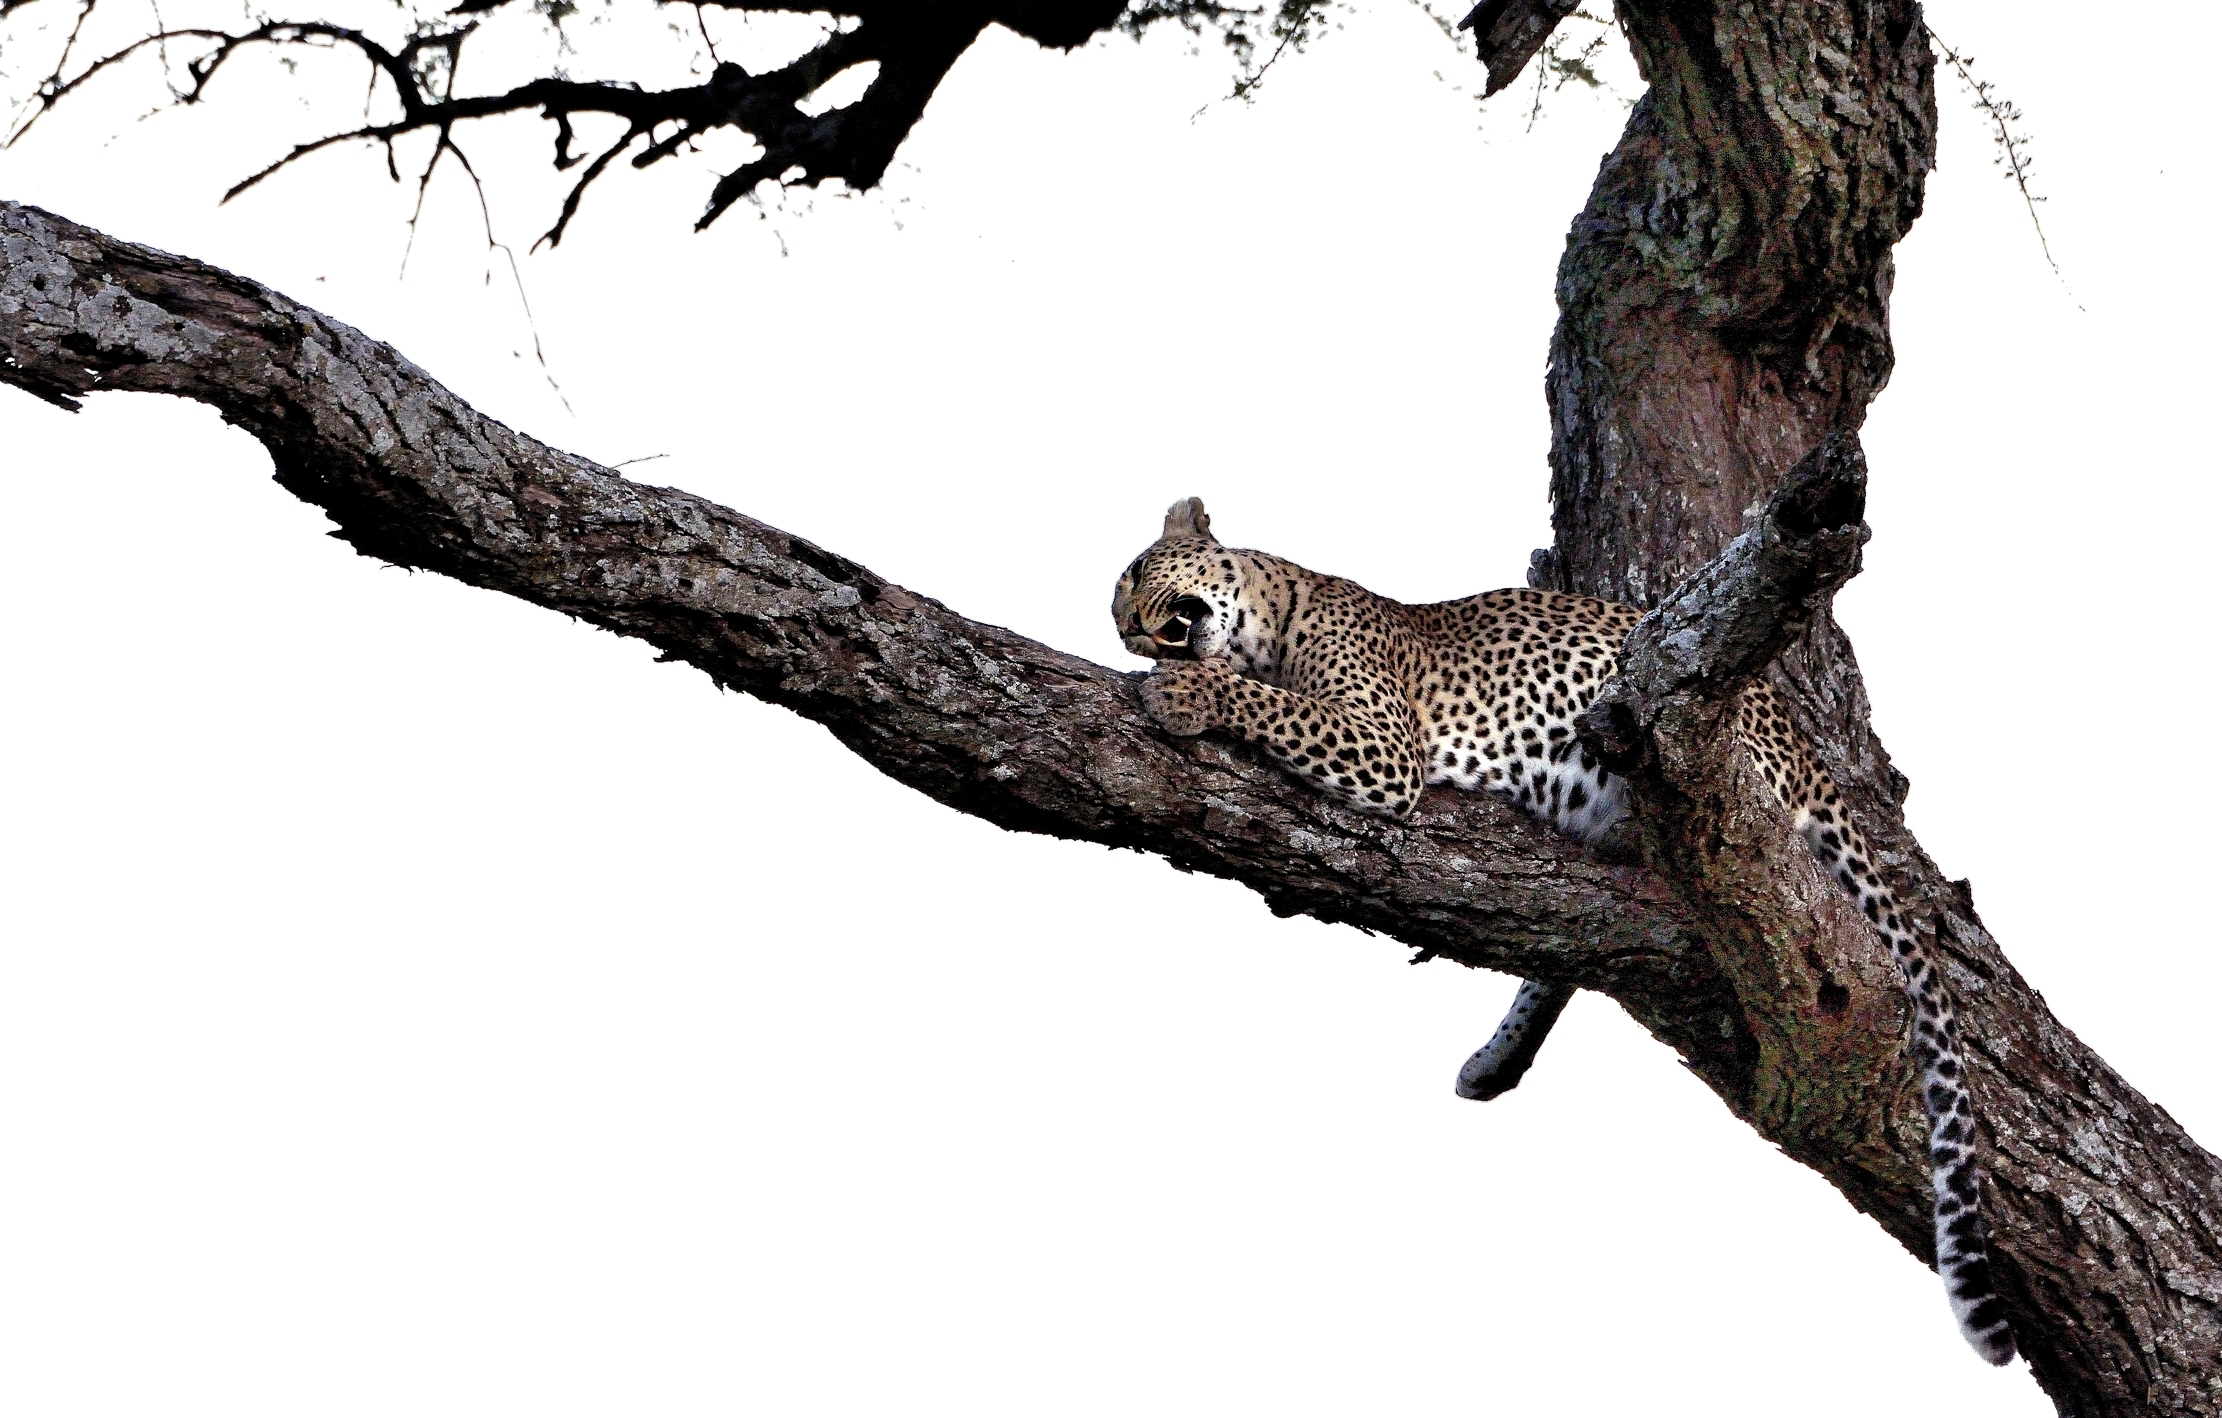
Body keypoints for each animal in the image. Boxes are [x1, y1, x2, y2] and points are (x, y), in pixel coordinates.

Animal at [1112, 496, 2015, 1368]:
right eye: (1118, 608)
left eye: (1135, 576)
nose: (1130, 632)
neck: (1272, 613)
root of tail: (1802, 743)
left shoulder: (1383, 745)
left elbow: (1273, 703)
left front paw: (1181, 692)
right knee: (1573, 942)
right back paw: (1496, 1060)